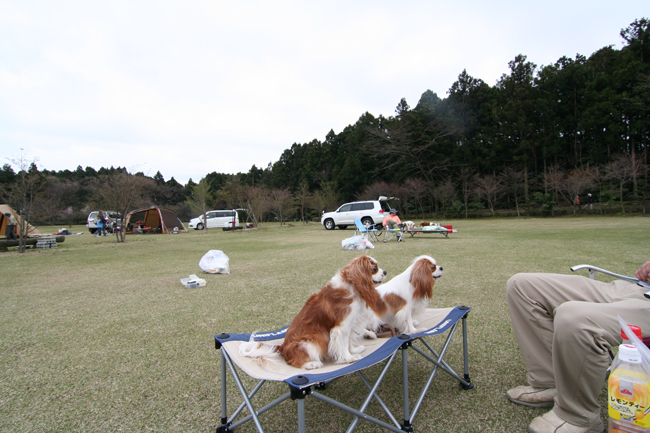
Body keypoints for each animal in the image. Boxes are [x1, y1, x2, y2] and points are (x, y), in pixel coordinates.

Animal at [240, 255, 388, 370]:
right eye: (374, 268)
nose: (385, 271)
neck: (352, 285)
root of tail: (282, 347)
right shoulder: (342, 326)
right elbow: (342, 344)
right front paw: (348, 358)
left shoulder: (351, 324)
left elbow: (348, 342)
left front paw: (353, 350)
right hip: (312, 341)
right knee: (293, 362)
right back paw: (310, 364)